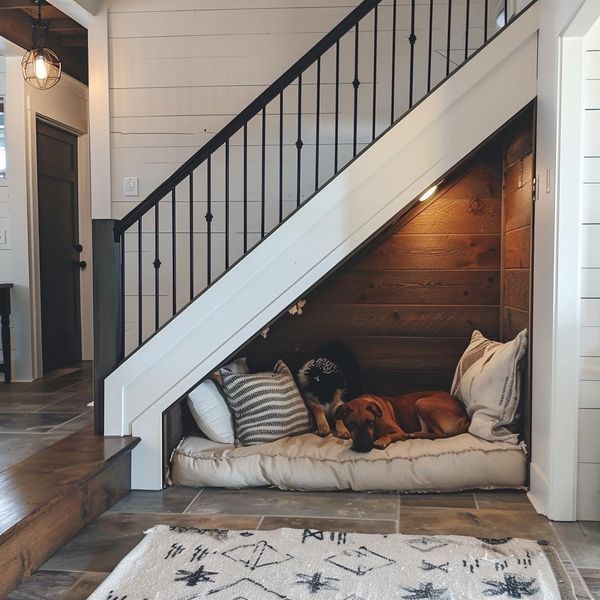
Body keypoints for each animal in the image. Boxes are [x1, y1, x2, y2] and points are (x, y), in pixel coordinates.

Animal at [332, 392, 468, 452]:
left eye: (370, 422)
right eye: (351, 425)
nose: (363, 446)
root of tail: (464, 412)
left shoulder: (399, 432)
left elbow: (387, 434)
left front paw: (381, 440)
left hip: (421, 402)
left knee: (440, 434)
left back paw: (414, 435)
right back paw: (415, 434)